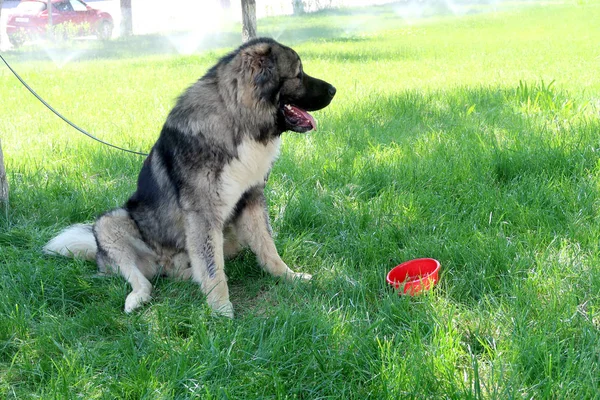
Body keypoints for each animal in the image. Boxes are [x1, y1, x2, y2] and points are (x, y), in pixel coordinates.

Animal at [44, 38, 338, 318]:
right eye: (299, 74)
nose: (334, 90)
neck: (238, 123)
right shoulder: (203, 214)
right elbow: (212, 268)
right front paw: (221, 310)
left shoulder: (251, 200)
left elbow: (267, 247)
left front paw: (289, 277)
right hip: (111, 222)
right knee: (143, 280)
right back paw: (137, 298)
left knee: (175, 273)